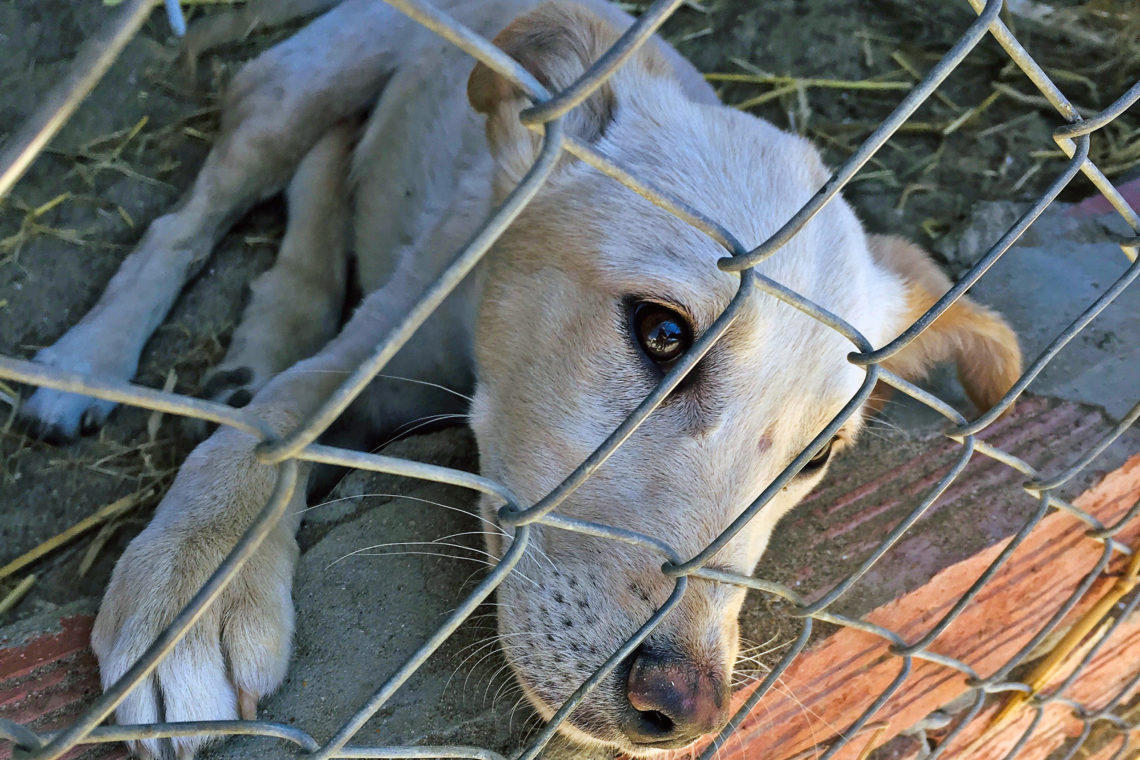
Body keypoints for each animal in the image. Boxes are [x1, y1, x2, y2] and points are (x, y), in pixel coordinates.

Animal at [17, 1, 1021, 756]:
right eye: (664, 333)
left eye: (818, 460)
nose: (683, 711)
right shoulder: (375, 346)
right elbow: (273, 427)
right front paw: (195, 590)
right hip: (297, 85)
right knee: (194, 216)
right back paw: (87, 361)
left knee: (327, 171)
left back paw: (273, 320)